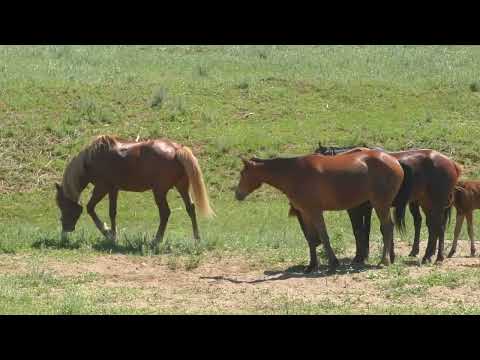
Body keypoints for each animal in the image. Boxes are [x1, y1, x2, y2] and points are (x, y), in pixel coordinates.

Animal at [55, 135, 215, 248]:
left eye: (63, 205)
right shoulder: (113, 189)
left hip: (159, 192)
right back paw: (197, 239)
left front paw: (107, 232)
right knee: (190, 209)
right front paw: (113, 236)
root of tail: (176, 149)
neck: (92, 159)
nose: (65, 230)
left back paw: (156, 240)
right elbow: (112, 212)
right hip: (182, 187)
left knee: (165, 213)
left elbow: (90, 208)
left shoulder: (102, 188)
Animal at [234, 148, 410, 272]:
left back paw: (384, 260)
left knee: (386, 228)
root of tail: (394, 161)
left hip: (380, 204)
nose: (237, 194)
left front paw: (333, 262)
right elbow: (312, 239)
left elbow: (324, 236)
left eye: (243, 173)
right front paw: (311, 265)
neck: (294, 173)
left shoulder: (315, 211)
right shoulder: (306, 213)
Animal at [310, 144, 464, 264]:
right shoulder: (368, 208)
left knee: (439, 228)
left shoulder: (357, 209)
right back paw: (427, 255)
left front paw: (360, 257)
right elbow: (366, 230)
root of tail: (452, 163)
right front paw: (370, 255)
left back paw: (438, 257)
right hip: (426, 203)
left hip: (436, 204)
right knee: (432, 227)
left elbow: (360, 230)